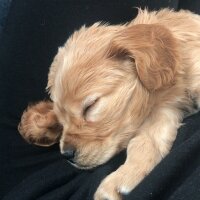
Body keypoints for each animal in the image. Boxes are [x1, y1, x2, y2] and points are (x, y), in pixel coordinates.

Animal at [18, 8, 200, 200]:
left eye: (90, 106)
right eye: (62, 119)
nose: (67, 155)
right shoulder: (164, 109)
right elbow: (145, 142)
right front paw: (122, 178)